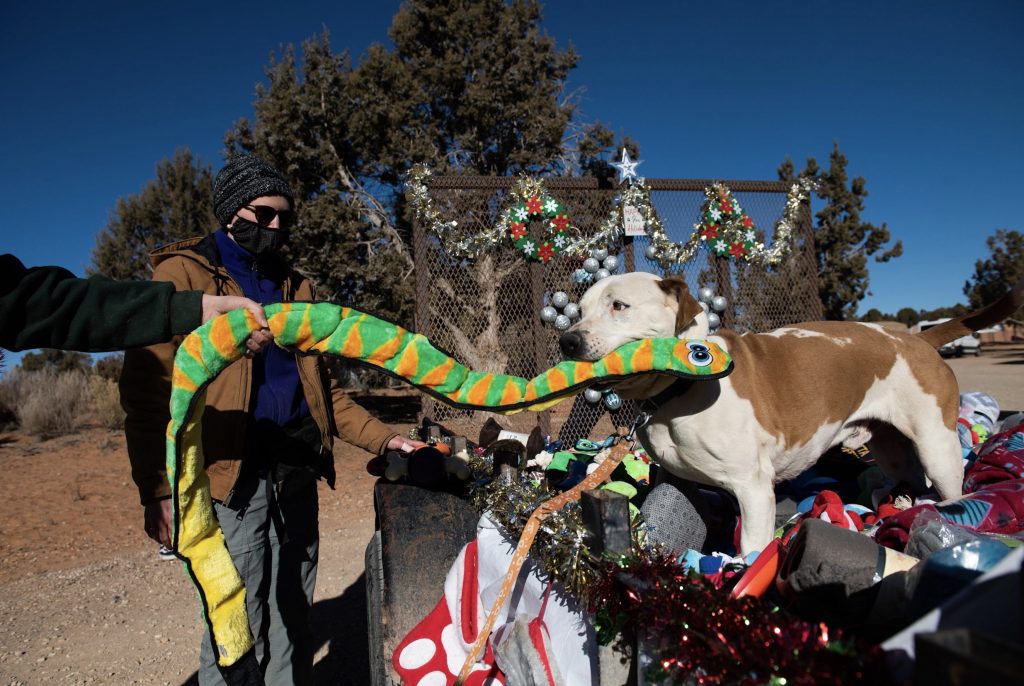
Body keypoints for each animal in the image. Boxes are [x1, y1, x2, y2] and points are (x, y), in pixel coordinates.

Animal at [561, 272, 1024, 556]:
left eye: (619, 306)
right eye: (579, 311)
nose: (567, 340)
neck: (683, 385)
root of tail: (917, 339)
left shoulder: (752, 488)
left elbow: (752, 547)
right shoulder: (678, 480)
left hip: (936, 444)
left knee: (950, 490)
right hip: (892, 447)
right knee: (908, 475)